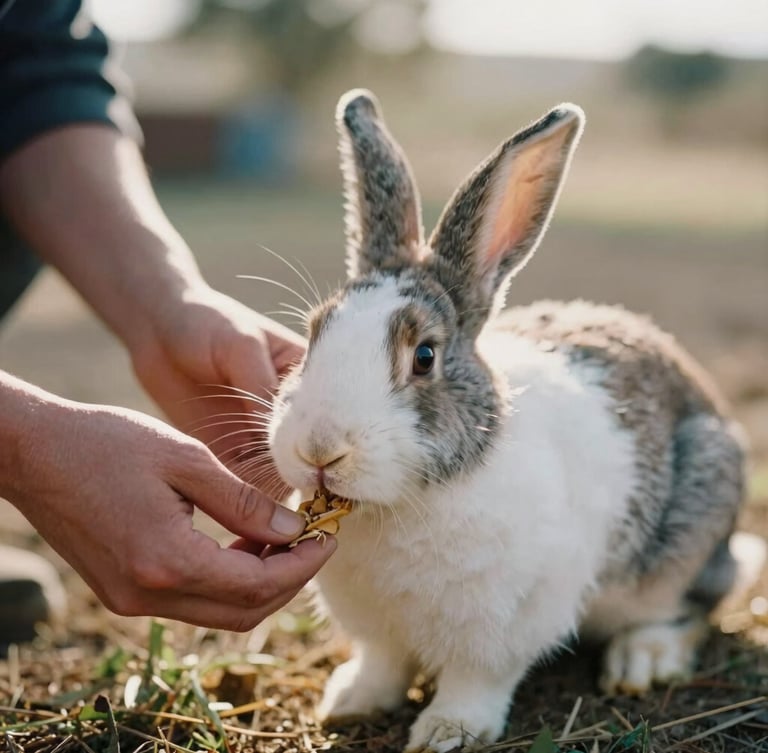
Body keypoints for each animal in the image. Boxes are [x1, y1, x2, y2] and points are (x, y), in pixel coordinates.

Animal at [267, 89, 748, 752]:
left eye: (424, 357)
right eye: (314, 335)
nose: (319, 449)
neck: (404, 505)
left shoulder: (506, 626)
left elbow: (478, 680)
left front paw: (445, 732)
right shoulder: (377, 631)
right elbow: (382, 663)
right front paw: (350, 702)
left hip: (686, 534)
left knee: (691, 607)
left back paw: (642, 659)